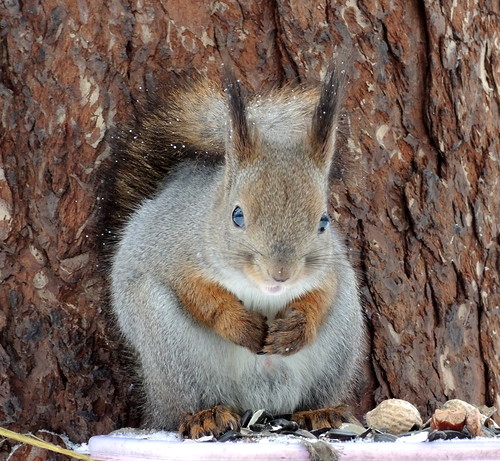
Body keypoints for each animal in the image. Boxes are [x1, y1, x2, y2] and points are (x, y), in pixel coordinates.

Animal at [100, 62, 364, 438]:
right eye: (237, 215)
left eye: (324, 221)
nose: (280, 275)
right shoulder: (172, 254)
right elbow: (198, 294)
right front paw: (239, 324)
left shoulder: (331, 269)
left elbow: (322, 293)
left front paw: (297, 326)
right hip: (171, 348)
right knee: (183, 404)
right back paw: (206, 416)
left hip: (341, 338)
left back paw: (321, 412)